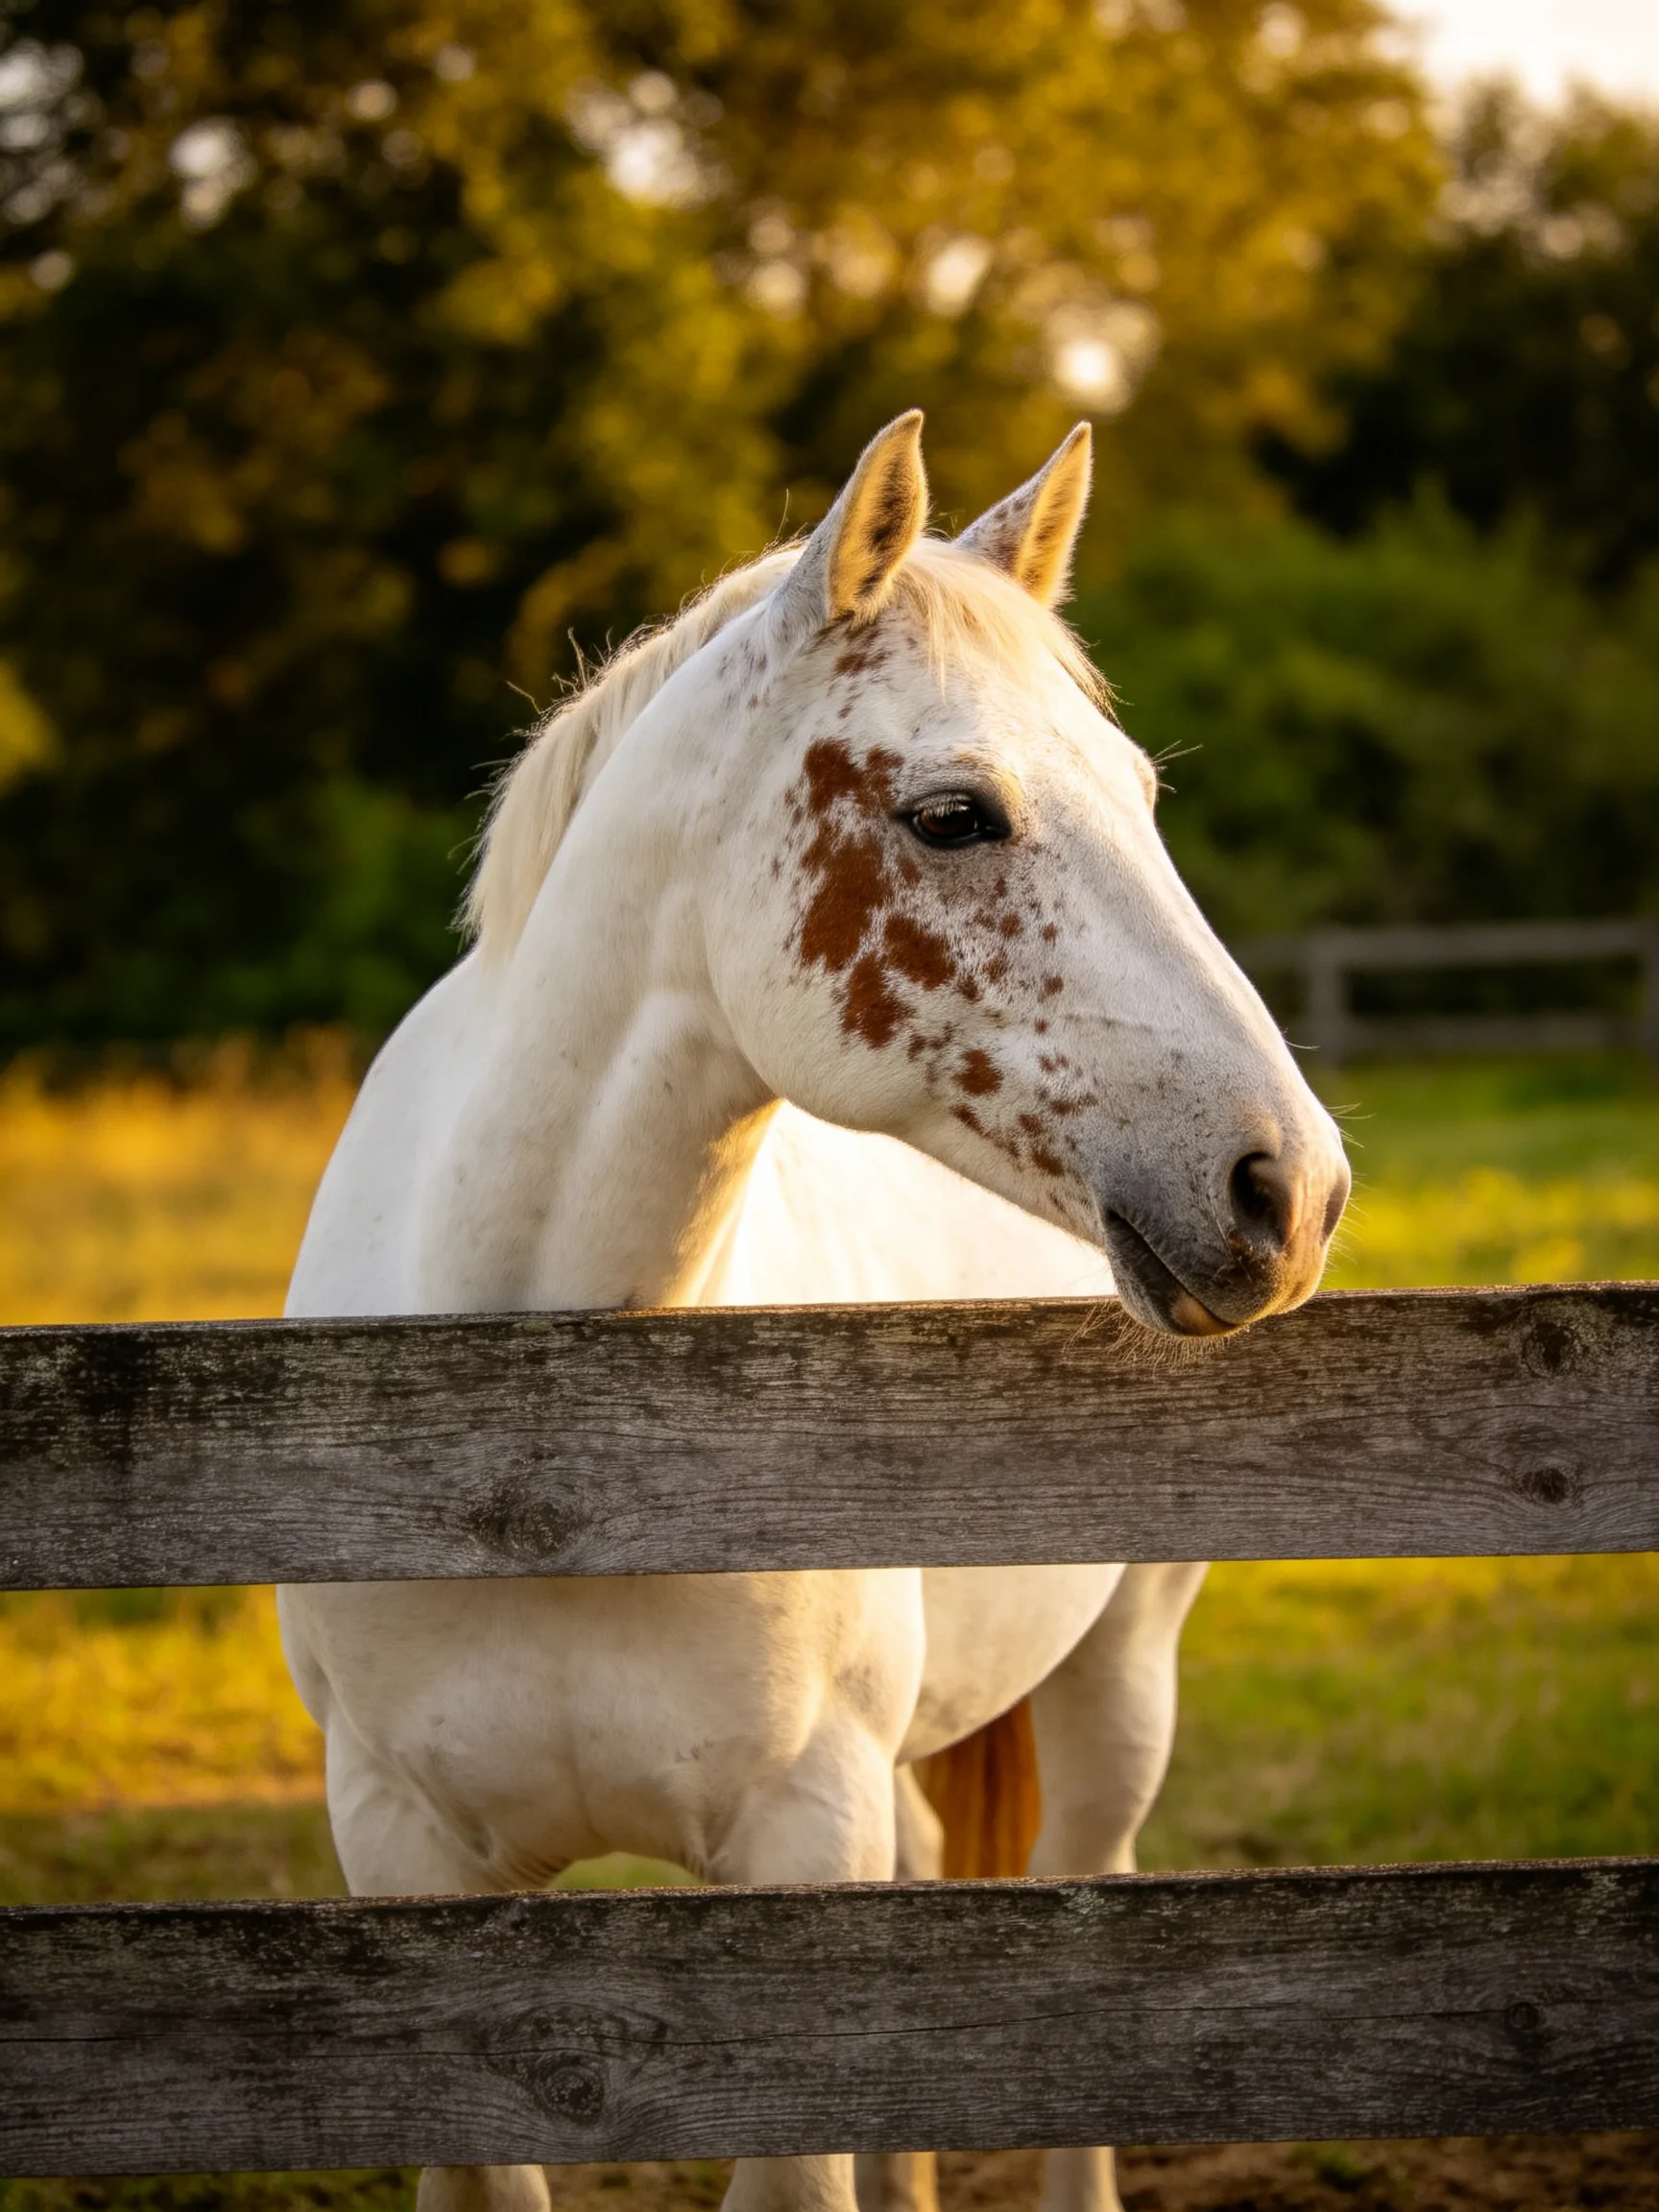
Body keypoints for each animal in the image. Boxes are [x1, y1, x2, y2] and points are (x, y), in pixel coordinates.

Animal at [278, 412, 1350, 2212]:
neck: (528, 1461)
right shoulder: (408, 1864)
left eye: (1139, 793)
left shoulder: (796, 1853)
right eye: (952, 812)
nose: (1291, 1186)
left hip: (1117, 1683)